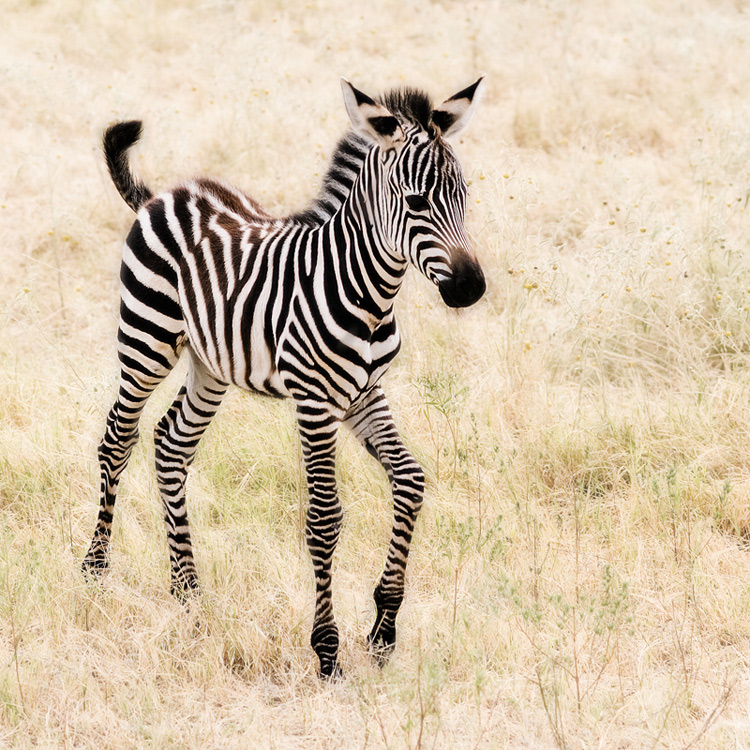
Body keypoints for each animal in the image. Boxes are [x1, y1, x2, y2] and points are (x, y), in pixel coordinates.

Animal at [83, 78, 488, 680]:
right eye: (416, 202)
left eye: (463, 193)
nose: (470, 288)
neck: (368, 293)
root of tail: (164, 195)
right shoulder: (315, 402)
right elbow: (325, 518)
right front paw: (327, 651)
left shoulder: (364, 393)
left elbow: (411, 482)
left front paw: (384, 628)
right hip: (146, 339)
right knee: (117, 438)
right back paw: (95, 570)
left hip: (210, 365)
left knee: (171, 444)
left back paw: (188, 593)